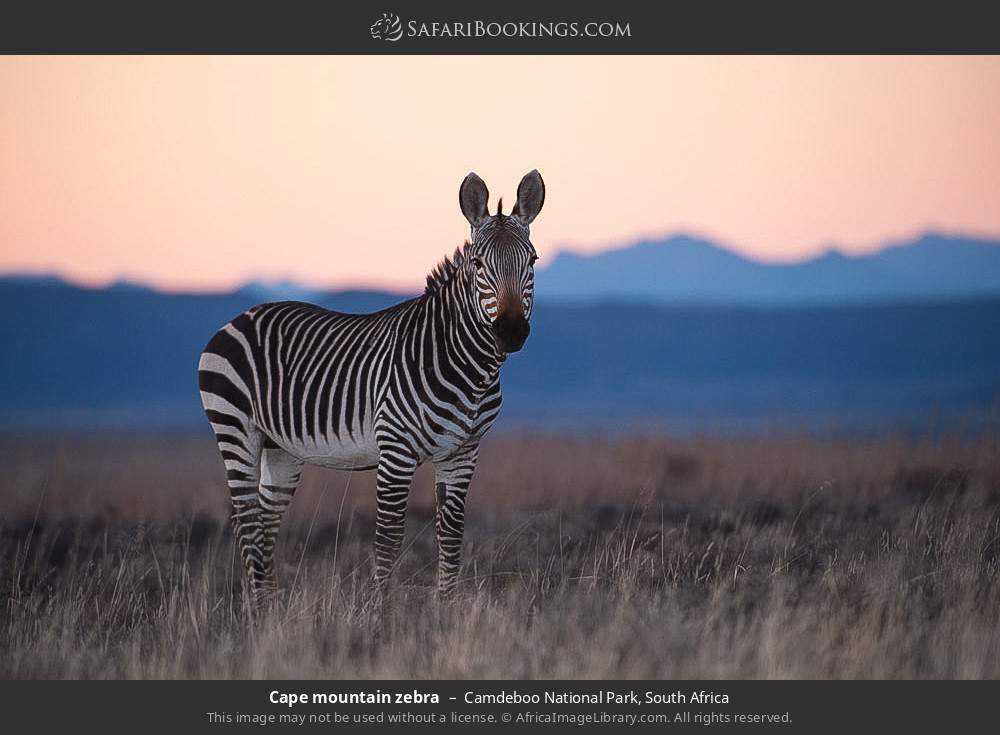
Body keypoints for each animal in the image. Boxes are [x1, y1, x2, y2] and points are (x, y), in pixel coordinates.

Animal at [198, 169, 545, 610]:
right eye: (478, 263)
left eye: (531, 261)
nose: (511, 331)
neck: (470, 371)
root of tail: (242, 316)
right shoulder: (395, 449)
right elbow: (388, 539)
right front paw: (383, 615)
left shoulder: (463, 452)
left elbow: (451, 536)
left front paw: (445, 611)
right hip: (235, 430)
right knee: (246, 524)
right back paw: (259, 612)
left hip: (280, 449)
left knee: (264, 524)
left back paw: (270, 610)